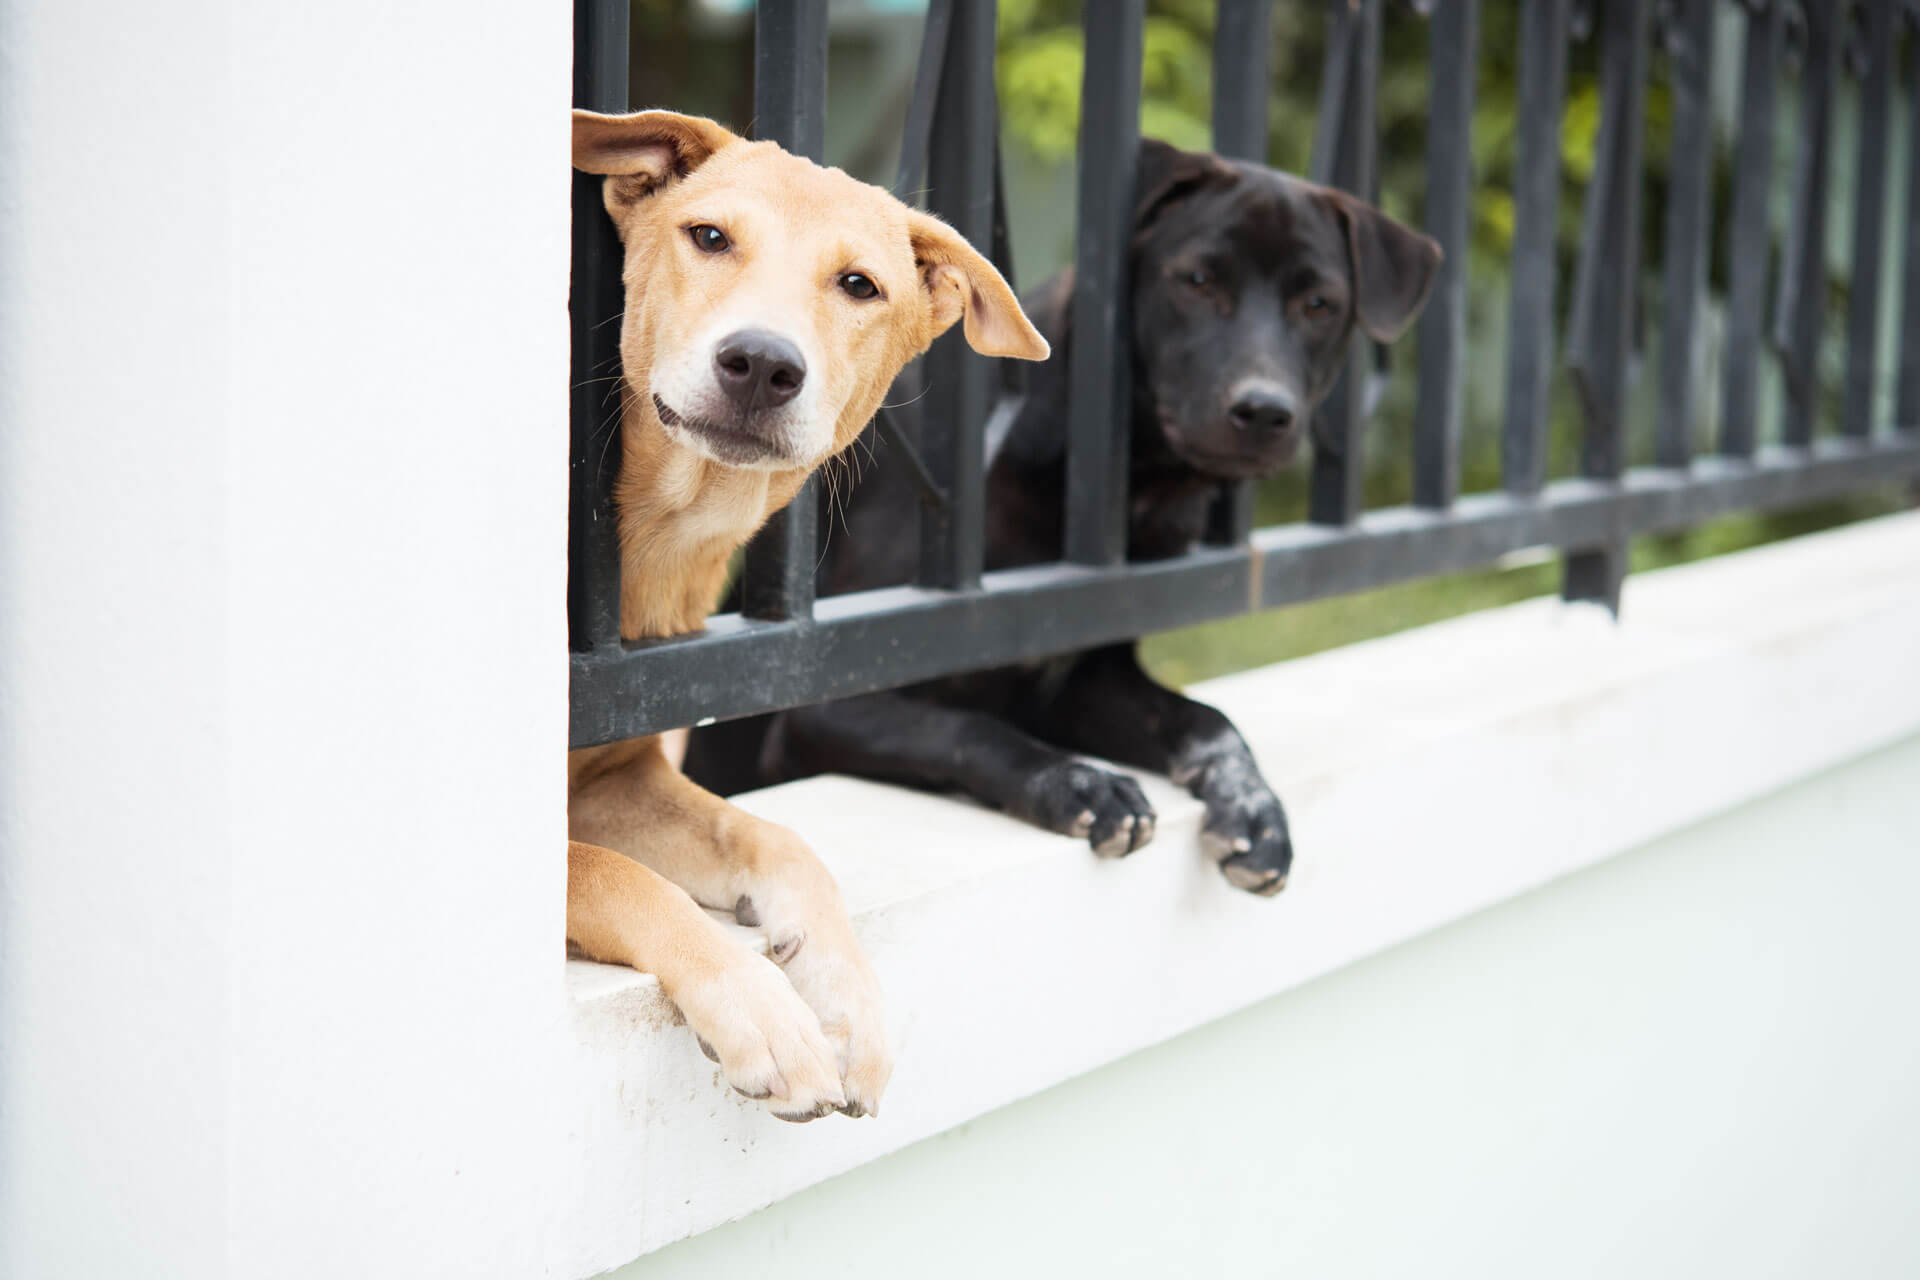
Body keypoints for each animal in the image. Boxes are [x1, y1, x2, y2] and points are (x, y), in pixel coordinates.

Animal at [568, 112, 1052, 1120]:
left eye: (858, 285)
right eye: (709, 236)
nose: (760, 363)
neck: (661, 533)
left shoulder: (614, 775)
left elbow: (774, 837)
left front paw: (845, 1000)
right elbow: (613, 876)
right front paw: (759, 1008)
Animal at [691, 140, 1443, 898]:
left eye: (1320, 304)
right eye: (1197, 279)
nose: (1263, 410)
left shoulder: (1083, 681)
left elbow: (1208, 720)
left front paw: (1252, 806)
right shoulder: (830, 704)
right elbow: (967, 730)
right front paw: (1077, 784)